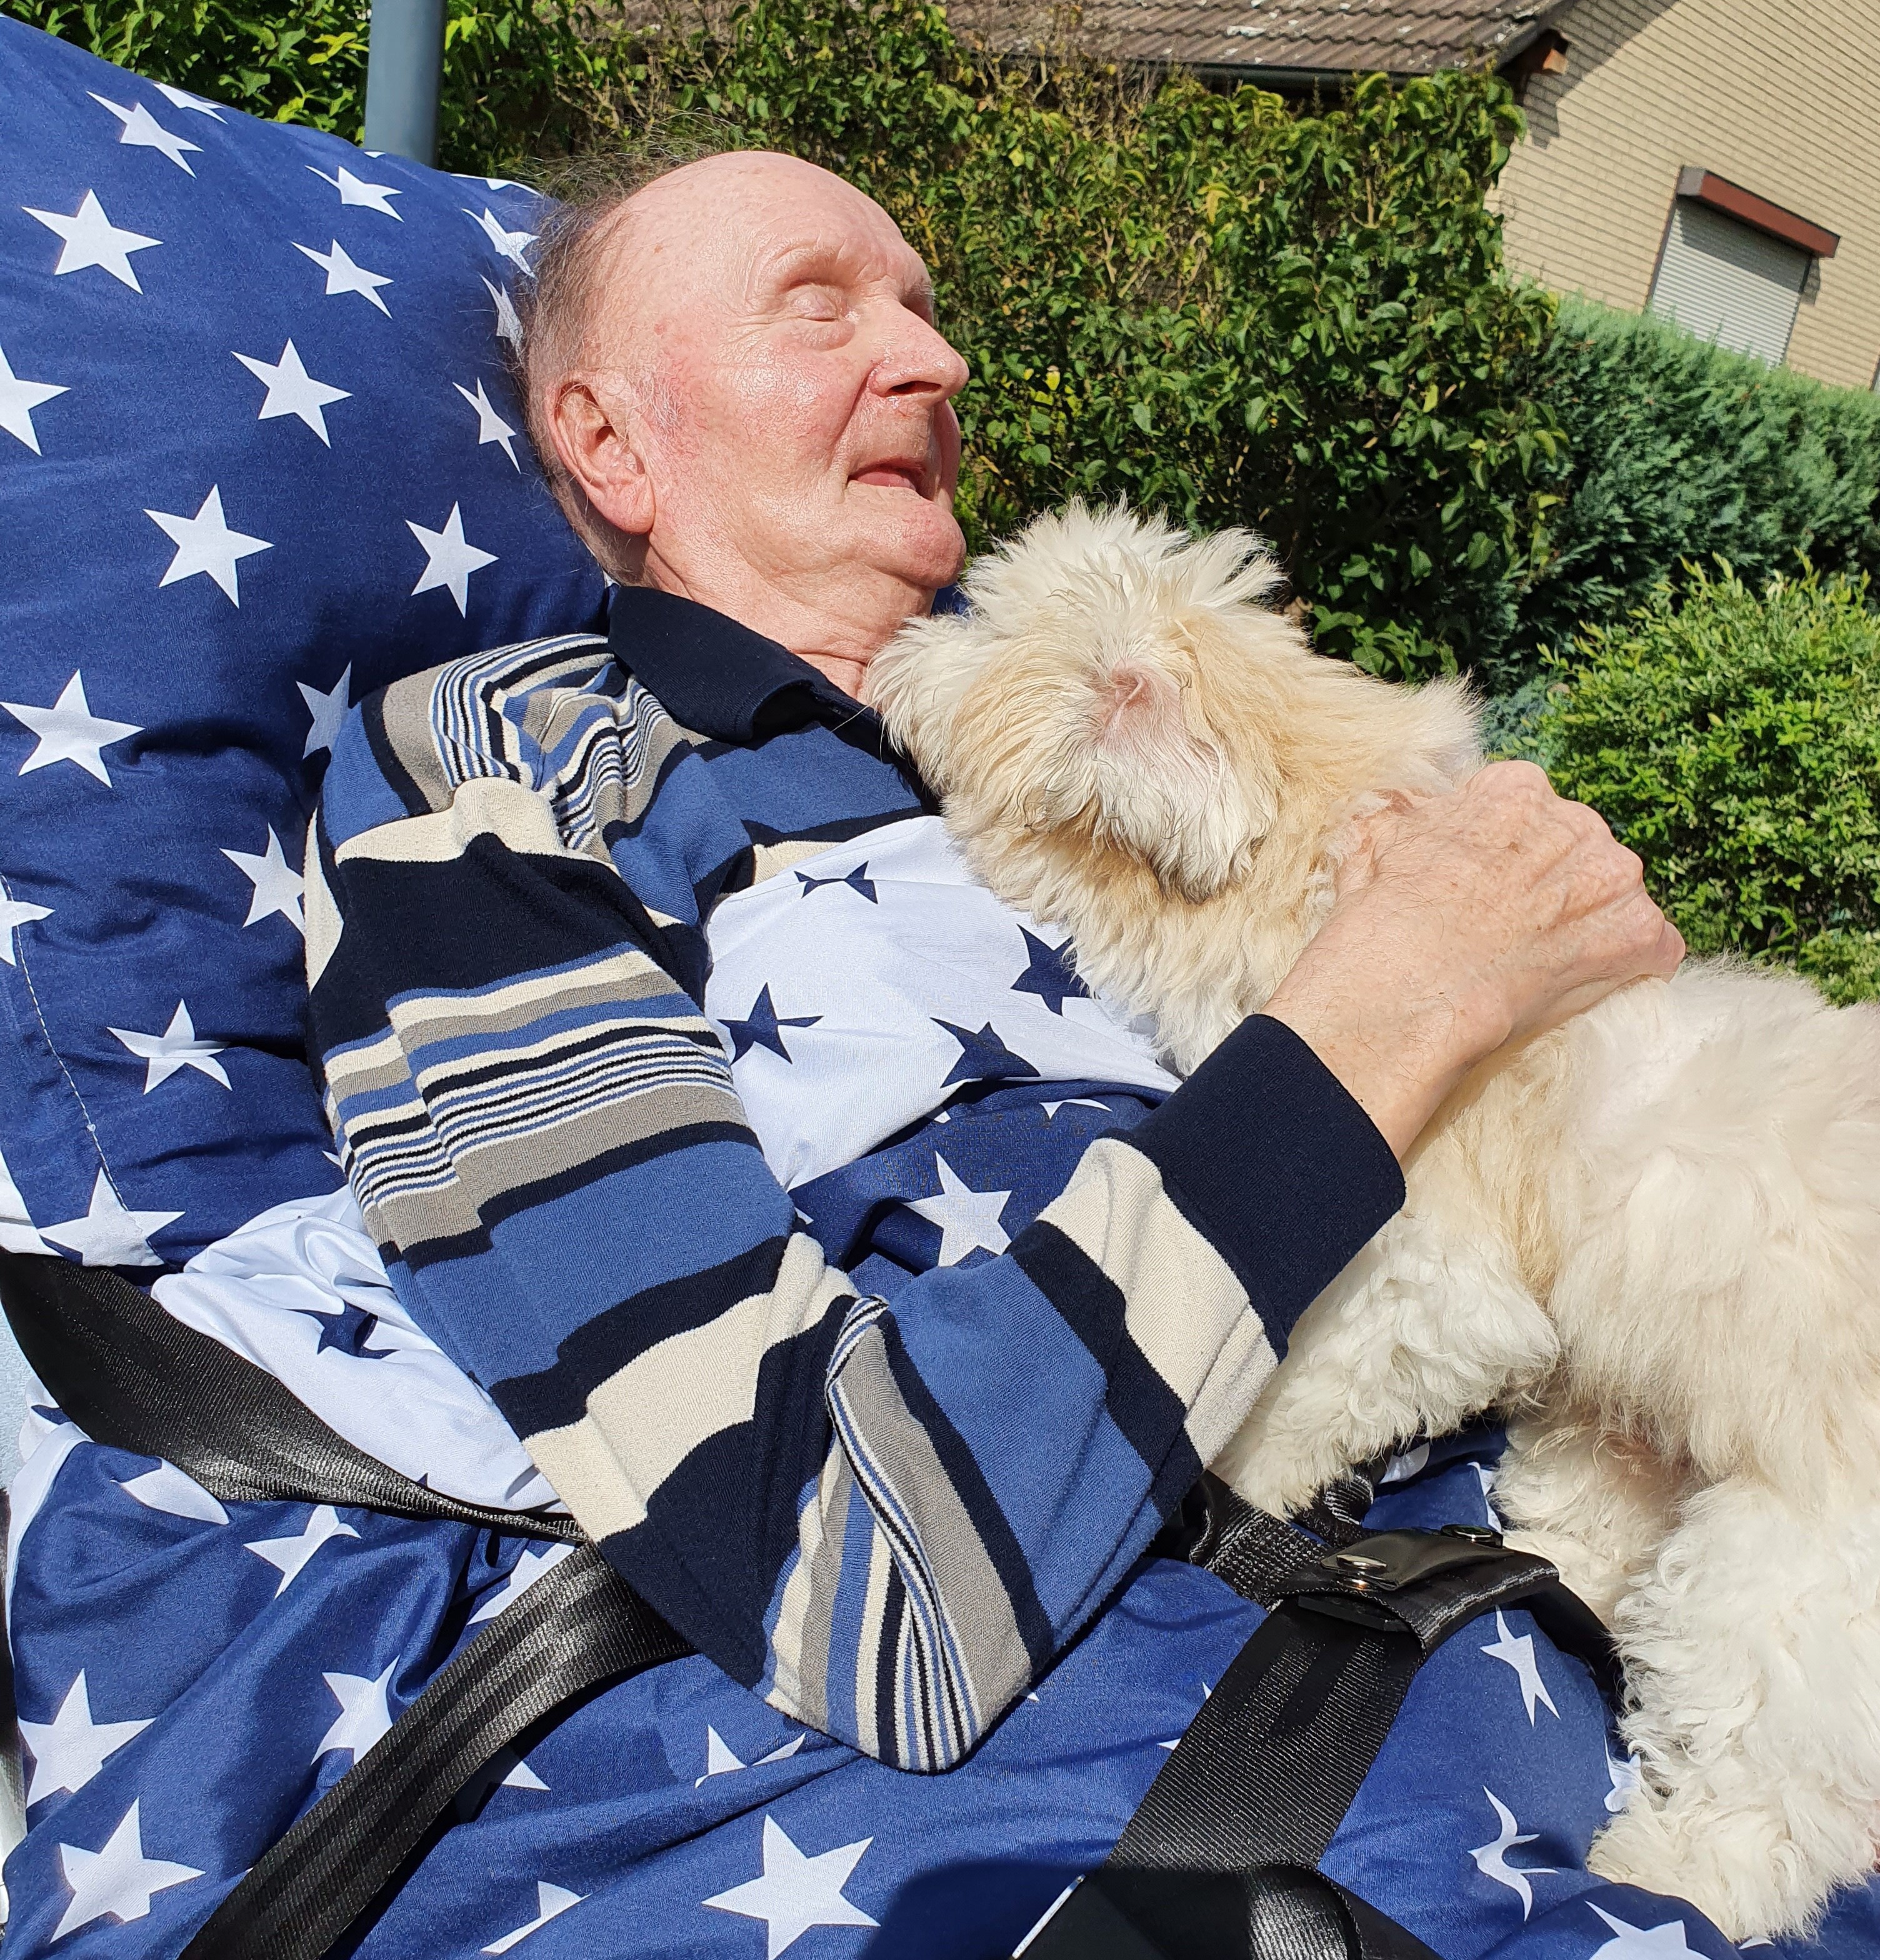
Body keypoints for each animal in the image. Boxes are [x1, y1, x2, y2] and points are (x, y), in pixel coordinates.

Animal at [874, 498, 1880, 1936]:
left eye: (988, 624)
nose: (893, 648)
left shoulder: (1425, 1278)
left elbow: (1298, 1391)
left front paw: (1231, 1489)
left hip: (1796, 1579)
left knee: (1776, 1785)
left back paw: (1664, 1870)